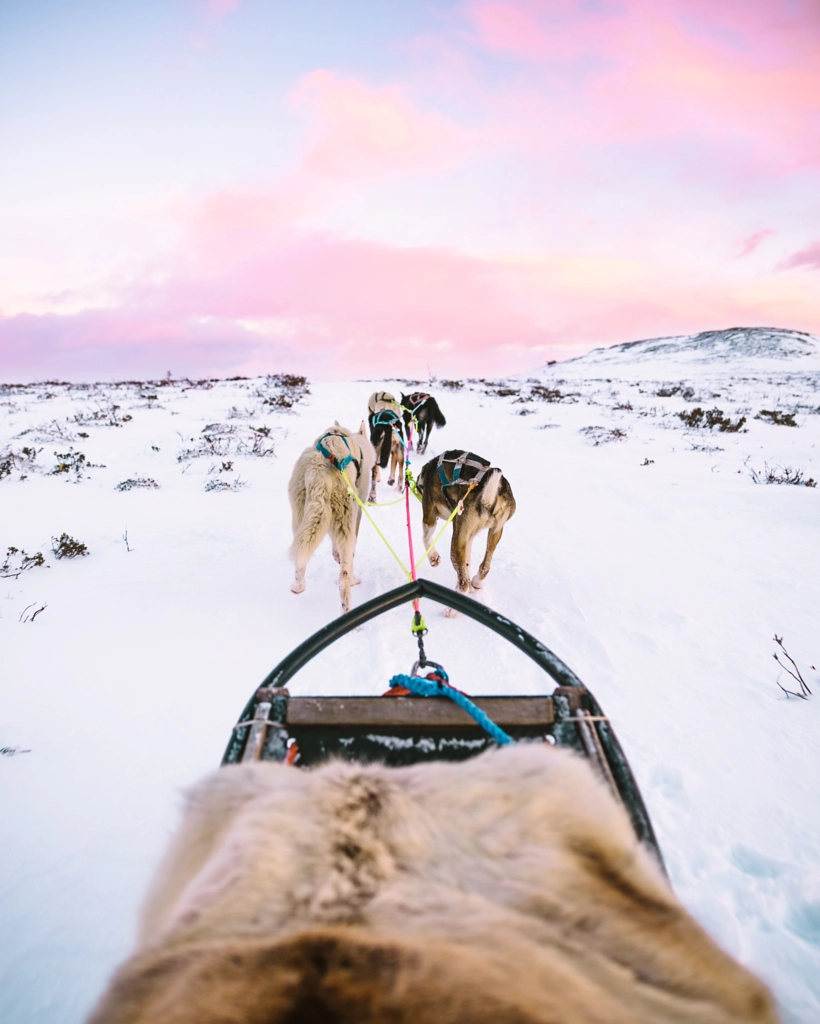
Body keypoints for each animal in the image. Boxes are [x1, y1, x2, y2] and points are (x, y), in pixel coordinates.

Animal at [286, 419, 372, 610]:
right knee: (343, 578)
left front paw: (335, 556)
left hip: (301, 517)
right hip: (346, 520)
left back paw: (298, 586)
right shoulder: (358, 510)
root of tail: (319, 473)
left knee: (300, 558)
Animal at [419, 448, 515, 606]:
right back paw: (476, 582)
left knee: (464, 584)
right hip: (494, 532)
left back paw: (452, 608)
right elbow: (467, 563)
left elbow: (426, 537)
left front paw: (433, 558)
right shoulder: (468, 536)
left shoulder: (429, 514)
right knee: (483, 568)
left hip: (456, 543)